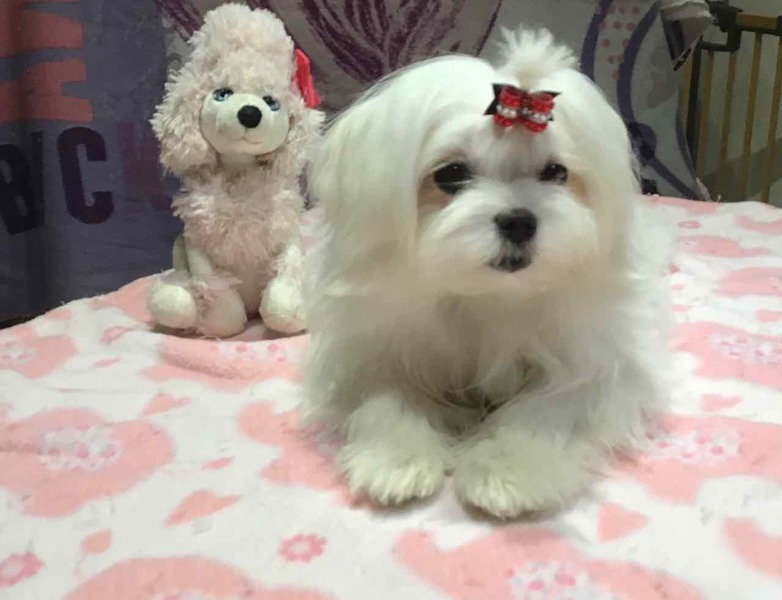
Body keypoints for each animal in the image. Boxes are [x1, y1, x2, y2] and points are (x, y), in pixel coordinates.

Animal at [304, 29, 669, 518]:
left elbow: (549, 405)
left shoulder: (596, 367)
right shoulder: (372, 352)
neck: (488, 294)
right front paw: (395, 459)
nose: (519, 221)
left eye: (556, 172)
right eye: (452, 174)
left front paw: (507, 469)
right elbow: (388, 395)